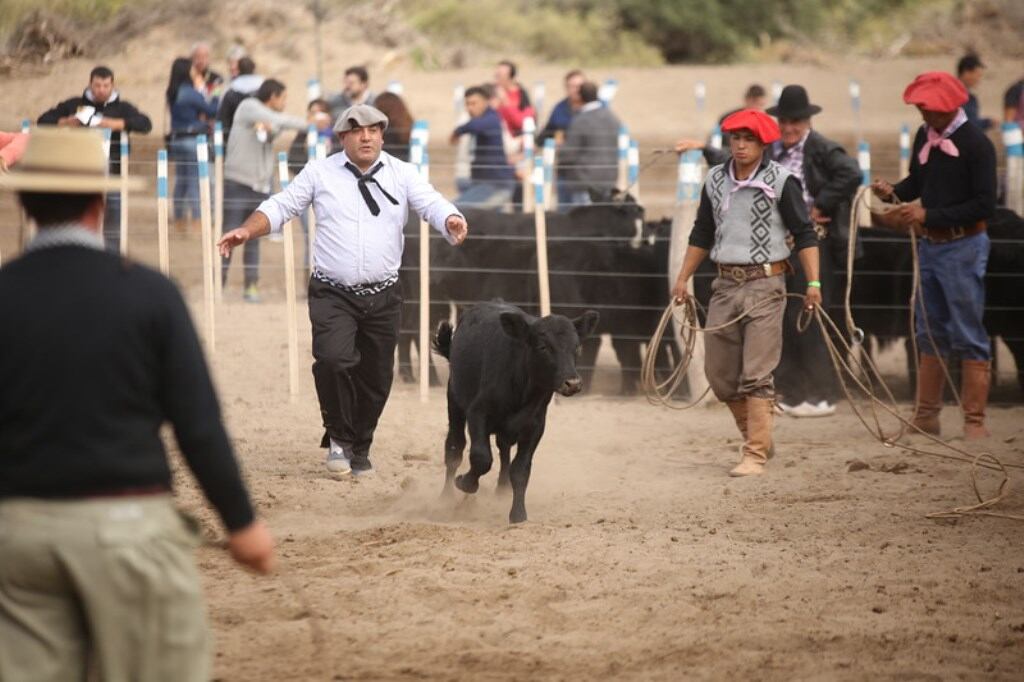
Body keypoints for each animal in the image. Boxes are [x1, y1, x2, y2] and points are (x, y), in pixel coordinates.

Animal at [434, 301, 598, 520]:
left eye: (577, 348)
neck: (523, 389)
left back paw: (502, 490)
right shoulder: (478, 412)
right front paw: (466, 483)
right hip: (455, 401)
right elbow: (481, 457)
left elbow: (520, 470)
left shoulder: (535, 426)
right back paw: (445, 497)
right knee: (454, 449)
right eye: (543, 347)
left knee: (503, 450)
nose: (573, 383)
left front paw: (518, 513)